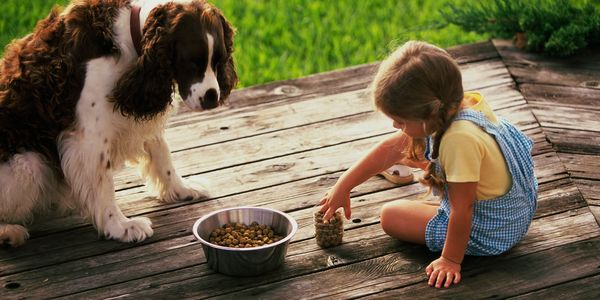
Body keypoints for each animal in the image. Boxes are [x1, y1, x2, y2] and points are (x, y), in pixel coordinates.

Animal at [0, 0, 239, 246]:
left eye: (218, 60)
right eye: (191, 62)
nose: (212, 97)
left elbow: (163, 155)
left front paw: (181, 189)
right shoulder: (89, 136)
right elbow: (103, 184)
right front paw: (120, 226)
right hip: (31, 164)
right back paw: (8, 231)